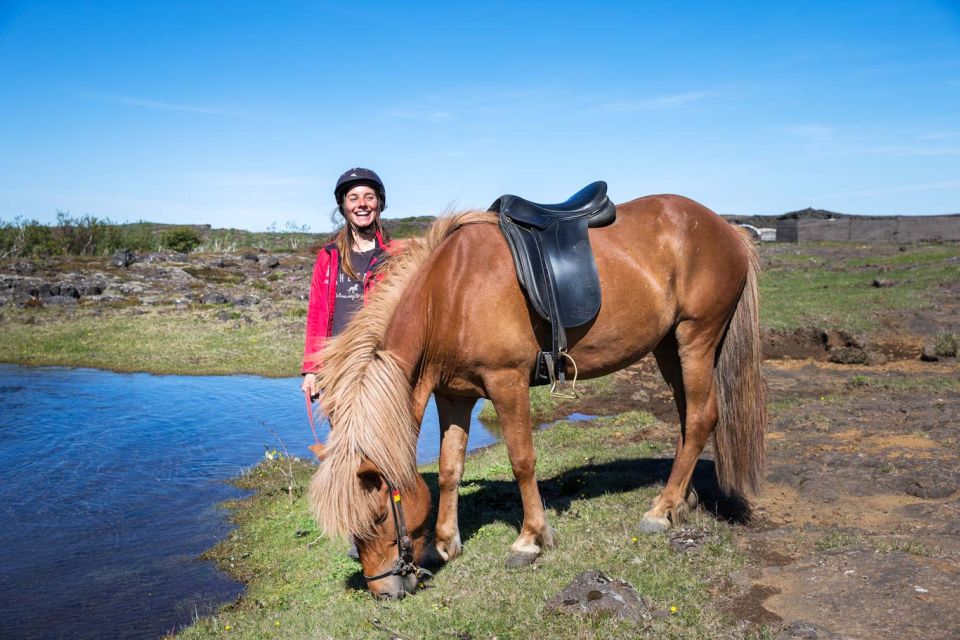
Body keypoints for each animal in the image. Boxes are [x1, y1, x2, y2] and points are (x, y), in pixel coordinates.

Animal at [312, 196, 768, 600]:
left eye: (377, 516)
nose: (383, 593)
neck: (449, 295)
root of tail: (727, 229)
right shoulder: (454, 395)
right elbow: (449, 467)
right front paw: (445, 543)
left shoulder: (507, 383)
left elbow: (522, 460)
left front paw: (530, 539)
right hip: (668, 348)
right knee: (689, 417)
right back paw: (682, 501)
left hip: (696, 339)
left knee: (701, 417)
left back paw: (661, 510)